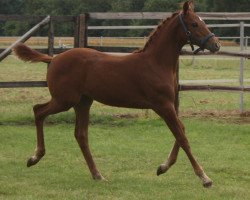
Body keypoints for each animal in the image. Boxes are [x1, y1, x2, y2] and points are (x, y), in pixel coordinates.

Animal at [13, 0, 220, 187]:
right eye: (194, 24)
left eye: (202, 21)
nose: (216, 44)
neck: (156, 63)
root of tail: (53, 59)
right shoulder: (162, 105)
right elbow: (182, 136)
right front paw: (204, 178)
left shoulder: (168, 105)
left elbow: (181, 130)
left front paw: (163, 167)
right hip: (65, 100)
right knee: (38, 111)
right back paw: (35, 157)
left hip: (83, 102)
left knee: (81, 134)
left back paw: (97, 175)